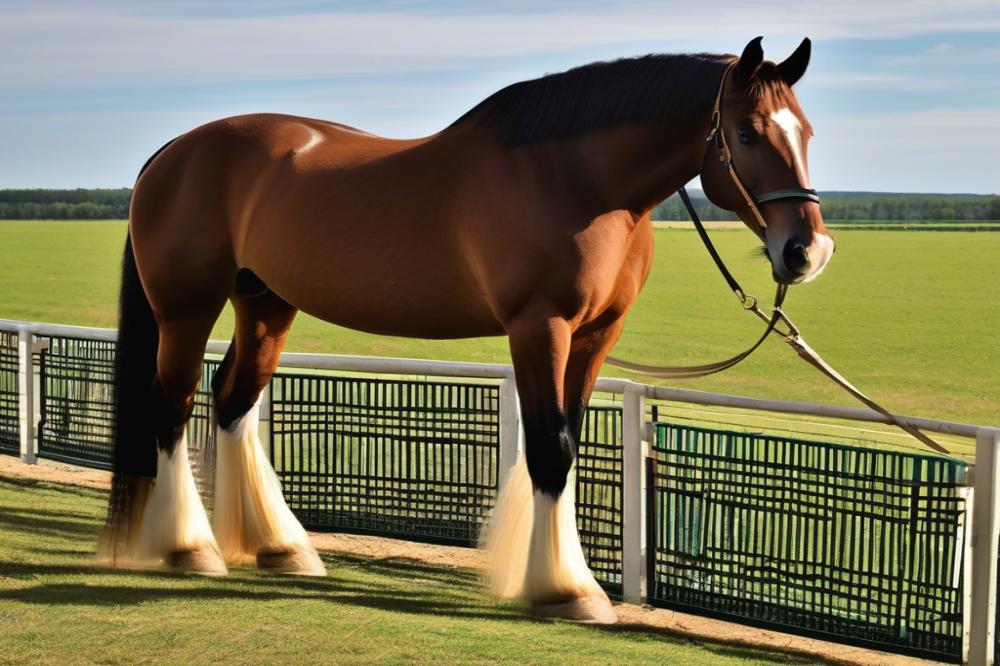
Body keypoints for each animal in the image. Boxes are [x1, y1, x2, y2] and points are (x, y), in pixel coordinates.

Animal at [97, 33, 832, 620]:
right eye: (747, 133)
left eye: (806, 132)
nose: (807, 252)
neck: (575, 180)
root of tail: (175, 150)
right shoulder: (539, 326)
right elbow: (550, 447)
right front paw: (567, 590)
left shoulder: (596, 336)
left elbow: (567, 440)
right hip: (186, 309)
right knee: (173, 408)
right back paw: (191, 549)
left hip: (266, 305)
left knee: (232, 403)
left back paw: (280, 548)